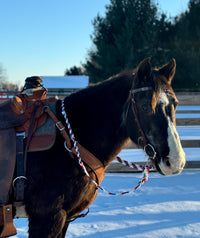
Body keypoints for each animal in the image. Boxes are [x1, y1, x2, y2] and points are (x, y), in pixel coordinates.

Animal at [14, 57, 185, 236]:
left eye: (175, 104)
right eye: (145, 106)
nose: (175, 162)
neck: (70, 138)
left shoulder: (65, 217)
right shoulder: (47, 216)